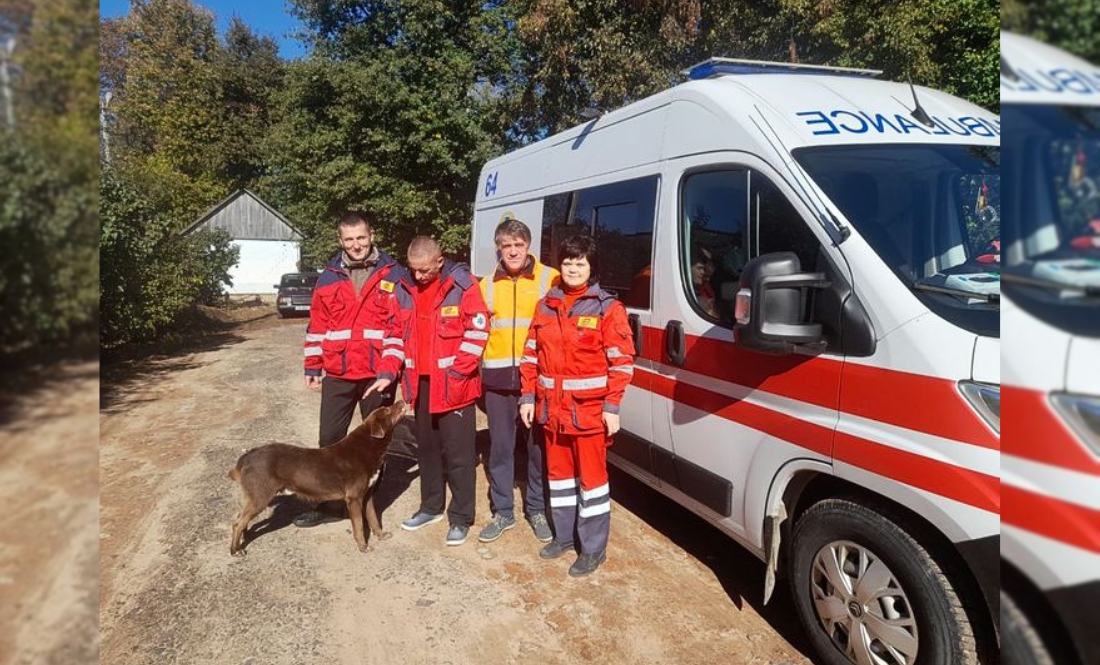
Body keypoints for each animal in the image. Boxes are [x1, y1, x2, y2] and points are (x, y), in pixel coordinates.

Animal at [227, 400, 409, 553]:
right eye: (387, 409)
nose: (402, 401)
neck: (369, 447)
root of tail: (248, 455)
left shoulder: (368, 495)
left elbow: (373, 518)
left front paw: (381, 535)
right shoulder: (354, 498)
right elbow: (358, 525)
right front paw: (363, 547)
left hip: (254, 495)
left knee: (240, 518)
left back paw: (245, 536)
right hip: (261, 495)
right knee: (237, 523)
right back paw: (236, 550)